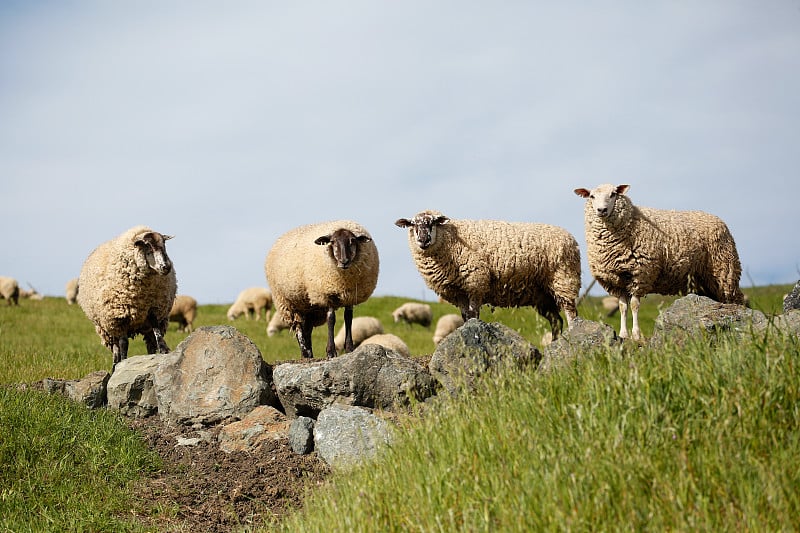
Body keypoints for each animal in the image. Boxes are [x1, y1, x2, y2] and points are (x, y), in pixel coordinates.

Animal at [77, 223, 177, 366]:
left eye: (164, 245)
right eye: (148, 247)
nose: (166, 267)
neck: (142, 293)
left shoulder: (153, 307)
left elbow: (156, 331)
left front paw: (163, 350)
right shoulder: (120, 316)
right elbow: (124, 344)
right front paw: (123, 361)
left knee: (150, 343)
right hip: (108, 328)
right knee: (116, 348)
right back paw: (115, 365)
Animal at [266, 218, 382, 360]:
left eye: (352, 241)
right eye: (332, 242)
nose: (344, 261)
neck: (344, 281)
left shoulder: (350, 296)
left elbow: (348, 318)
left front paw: (349, 349)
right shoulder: (328, 294)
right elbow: (331, 320)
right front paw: (331, 352)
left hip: (308, 307)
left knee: (307, 329)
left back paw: (309, 354)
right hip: (288, 303)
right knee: (298, 328)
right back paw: (305, 353)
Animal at [396, 210, 580, 338]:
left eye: (433, 223)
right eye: (413, 225)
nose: (423, 240)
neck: (450, 239)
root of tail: (571, 239)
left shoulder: (475, 282)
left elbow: (473, 315)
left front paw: (474, 331)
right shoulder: (458, 291)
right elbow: (465, 316)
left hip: (564, 279)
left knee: (571, 315)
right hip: (543, 294)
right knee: (556, 321)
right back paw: (555, 342)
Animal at [576, 183, 744, 340]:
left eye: (613, 194)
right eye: (591, 196)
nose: (602, 210)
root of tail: (716, 218)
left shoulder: (641, 274)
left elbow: (634, 305)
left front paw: (636, 335)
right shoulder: (616, 280)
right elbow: (623, 307)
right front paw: (623, 334)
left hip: (724, 270)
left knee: (733, 299)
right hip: (703, 280)